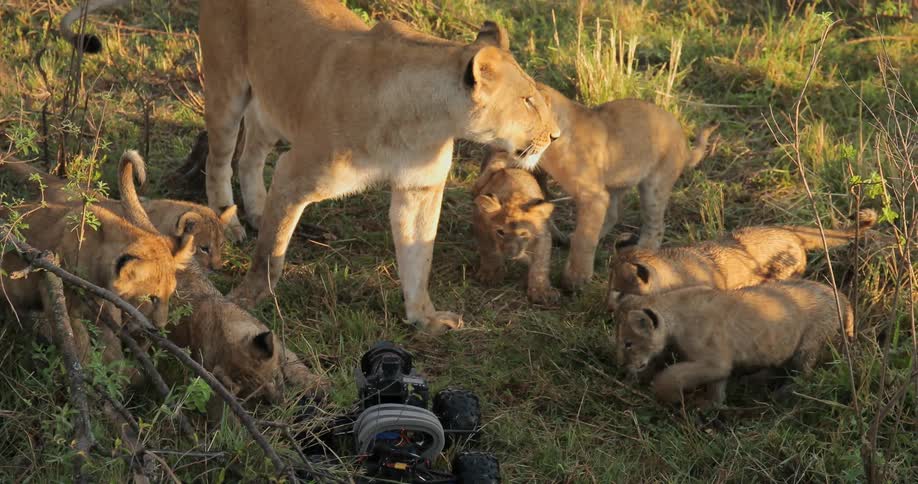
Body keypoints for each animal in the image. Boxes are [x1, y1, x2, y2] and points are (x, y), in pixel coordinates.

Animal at [473, 156, 557, 304]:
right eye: (500, 232)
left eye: (523, 234)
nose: (510, 254)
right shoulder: (481, 225)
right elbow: (489, 251)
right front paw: (490, 274)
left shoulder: (542, 234)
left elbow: (541, 263)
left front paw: (540, 291)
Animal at [615, 279, 851, 407]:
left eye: (628, 343)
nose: (622, 366)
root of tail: (842, 297)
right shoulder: (718, 364)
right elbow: (717, 385)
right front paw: (712, 406)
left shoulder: (714, 360)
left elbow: (673, 375)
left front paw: (669, 395)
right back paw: (753, 382)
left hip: (809, 343)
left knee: (804, 374)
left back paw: (781, 394)